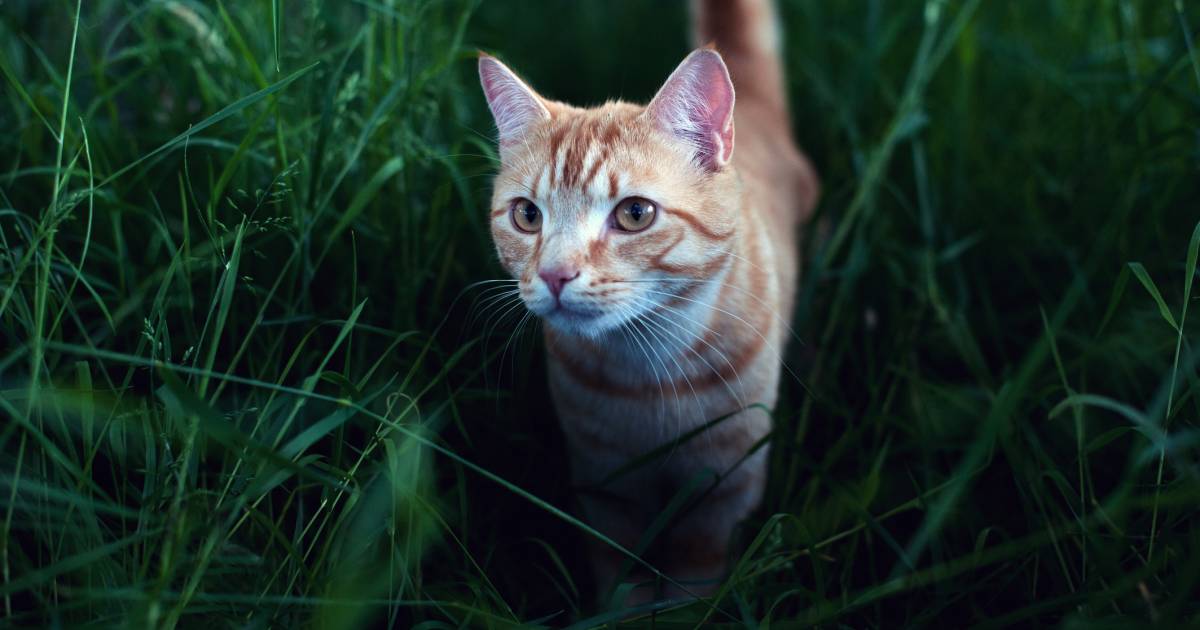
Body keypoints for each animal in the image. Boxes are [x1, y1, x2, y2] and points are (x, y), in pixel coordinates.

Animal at [477, 0, 816, 602]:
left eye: (635, 214)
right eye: (527, 215)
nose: (555, 274)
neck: (647, 370)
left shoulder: (724, 483)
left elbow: (695, 575)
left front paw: (683, 611)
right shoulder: (605, 483)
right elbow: (621, 572)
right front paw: (627, 610)